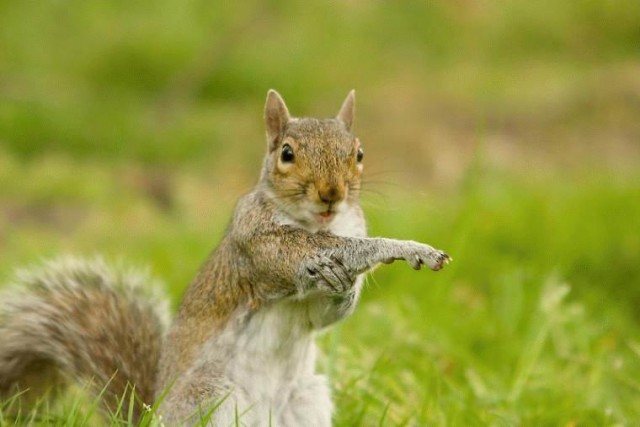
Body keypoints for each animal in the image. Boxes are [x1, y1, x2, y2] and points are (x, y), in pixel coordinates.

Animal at [0, 89, 450, 424]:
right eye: (286, 154)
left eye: (358, 154)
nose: (331, 193)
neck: (320, 224)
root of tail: (153, 415)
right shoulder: (260, 243)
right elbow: (335, 252)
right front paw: (408, 248)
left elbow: (323, 314)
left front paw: (344, 286)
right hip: (211, 398)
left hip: (307, 399)